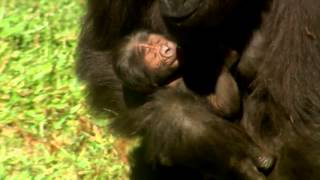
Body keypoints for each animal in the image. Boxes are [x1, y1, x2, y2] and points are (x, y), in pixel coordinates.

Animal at [112, 31, 240, 118]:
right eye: (154, 57)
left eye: (157, 42)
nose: (166, 49)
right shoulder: (179, 86)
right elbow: (223, 105)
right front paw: (221, 57)